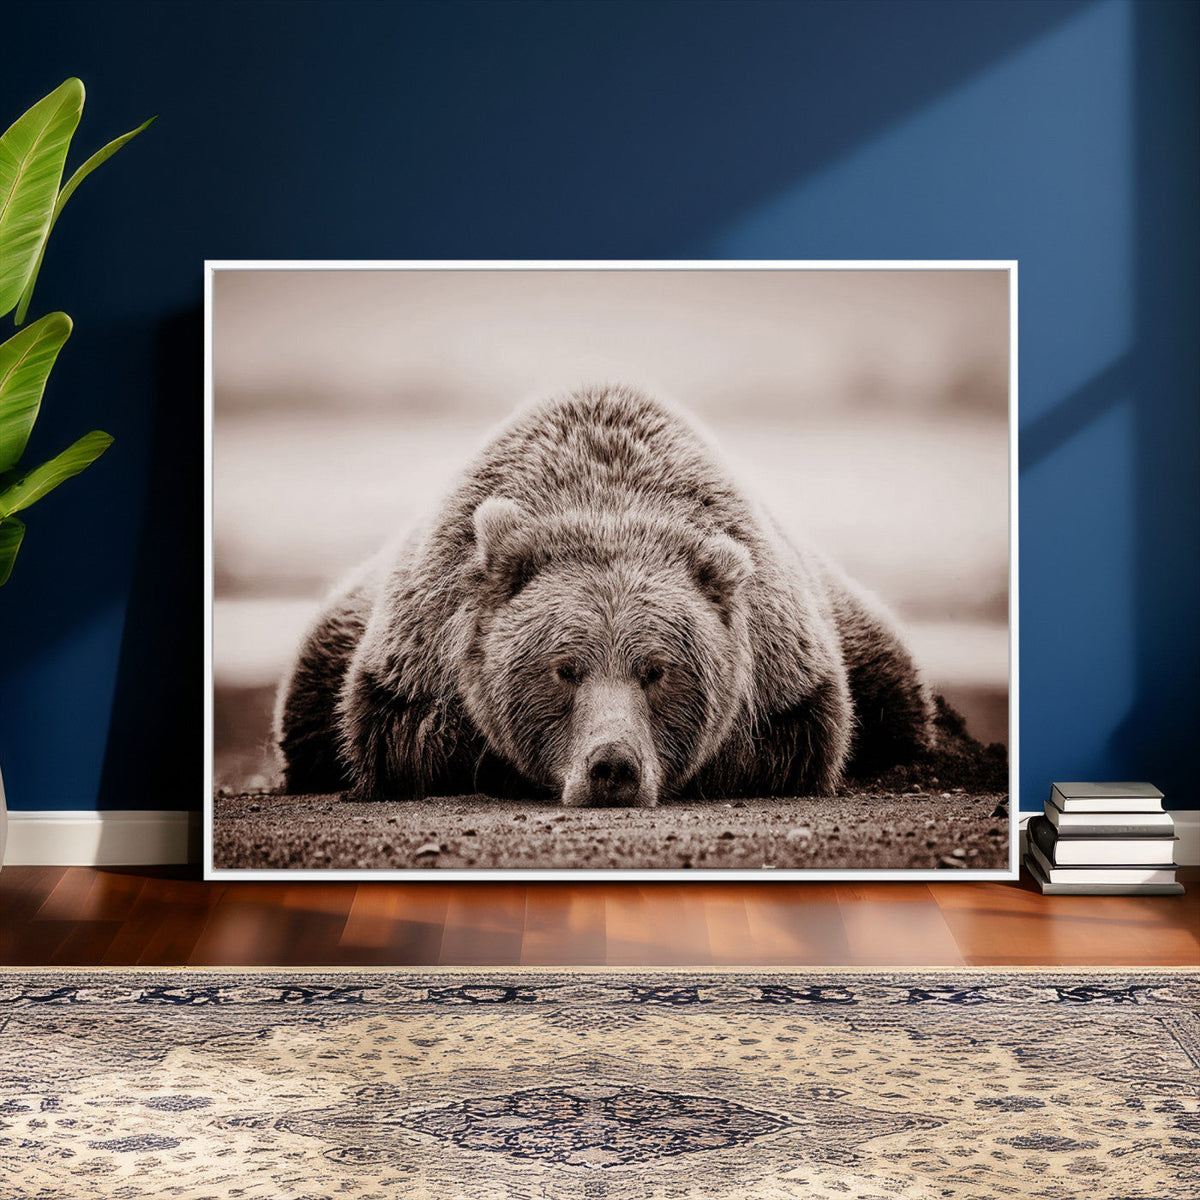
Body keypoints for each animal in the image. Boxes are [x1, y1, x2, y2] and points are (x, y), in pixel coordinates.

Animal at [275, 384, 932, 806]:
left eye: (657, 670)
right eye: (564, 668)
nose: (612, 765)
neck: (607, 501)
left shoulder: (784, 668)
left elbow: (798, 738)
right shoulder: (418, 652)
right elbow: (402, 737)